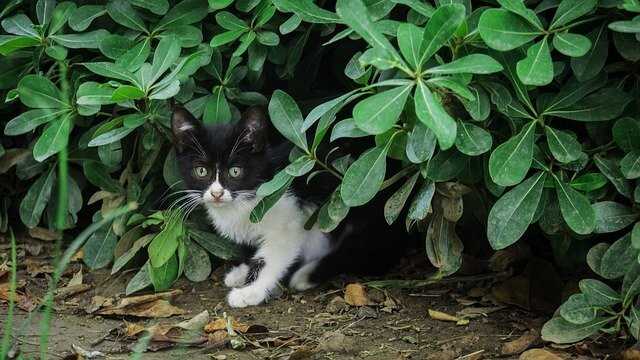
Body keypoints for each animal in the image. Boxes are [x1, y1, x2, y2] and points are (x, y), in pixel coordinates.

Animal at [171, 105, 404, 308]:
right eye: (201, 171)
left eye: (235, 171)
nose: (217, 194)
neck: (249, 195)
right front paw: (242, 273)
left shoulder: (288, 219)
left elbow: (270, 257)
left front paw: (250, 291)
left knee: (363, 254)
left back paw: (307, 274)